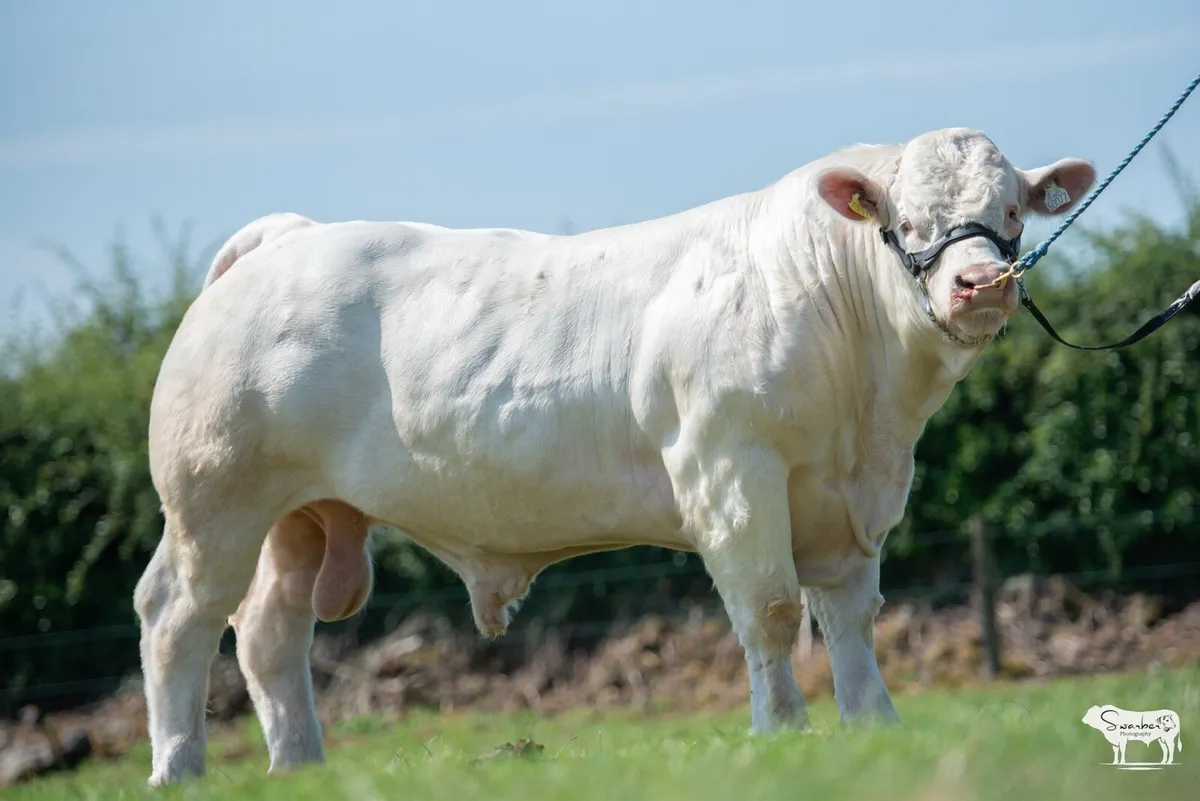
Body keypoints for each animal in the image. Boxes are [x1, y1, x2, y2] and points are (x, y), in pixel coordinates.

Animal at [134, 126, 1096, 786]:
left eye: (1011, 211)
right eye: (908, 220)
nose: (979, 283)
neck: (869, 406)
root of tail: (288, 237)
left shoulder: (850, 502)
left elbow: (850, 620)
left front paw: (875, 728)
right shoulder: (731, 474)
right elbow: (772, 612)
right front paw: (781, 734)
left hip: (300, 515)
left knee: (268, 631)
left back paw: (300, 766)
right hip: (214, 500)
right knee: (176, 616)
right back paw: (179, 767)